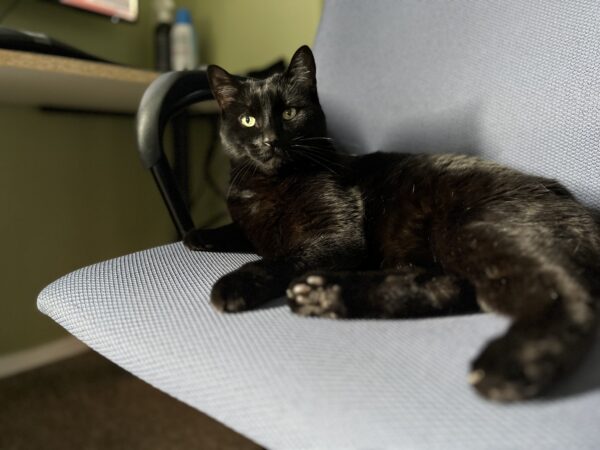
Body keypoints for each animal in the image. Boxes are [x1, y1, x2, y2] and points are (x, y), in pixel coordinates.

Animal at [184, 45, 600, 402]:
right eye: (248, 120)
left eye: (289, 113)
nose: (270, 141)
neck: (272, 183)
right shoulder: (255, 223)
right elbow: (243, 233)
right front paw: (199, 235)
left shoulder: (339, 234)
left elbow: (276, 258)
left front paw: (234, 283)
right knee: (443, 288)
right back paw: (326, 296)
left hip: (478, 231)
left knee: (568, 292)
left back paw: (510, 366)